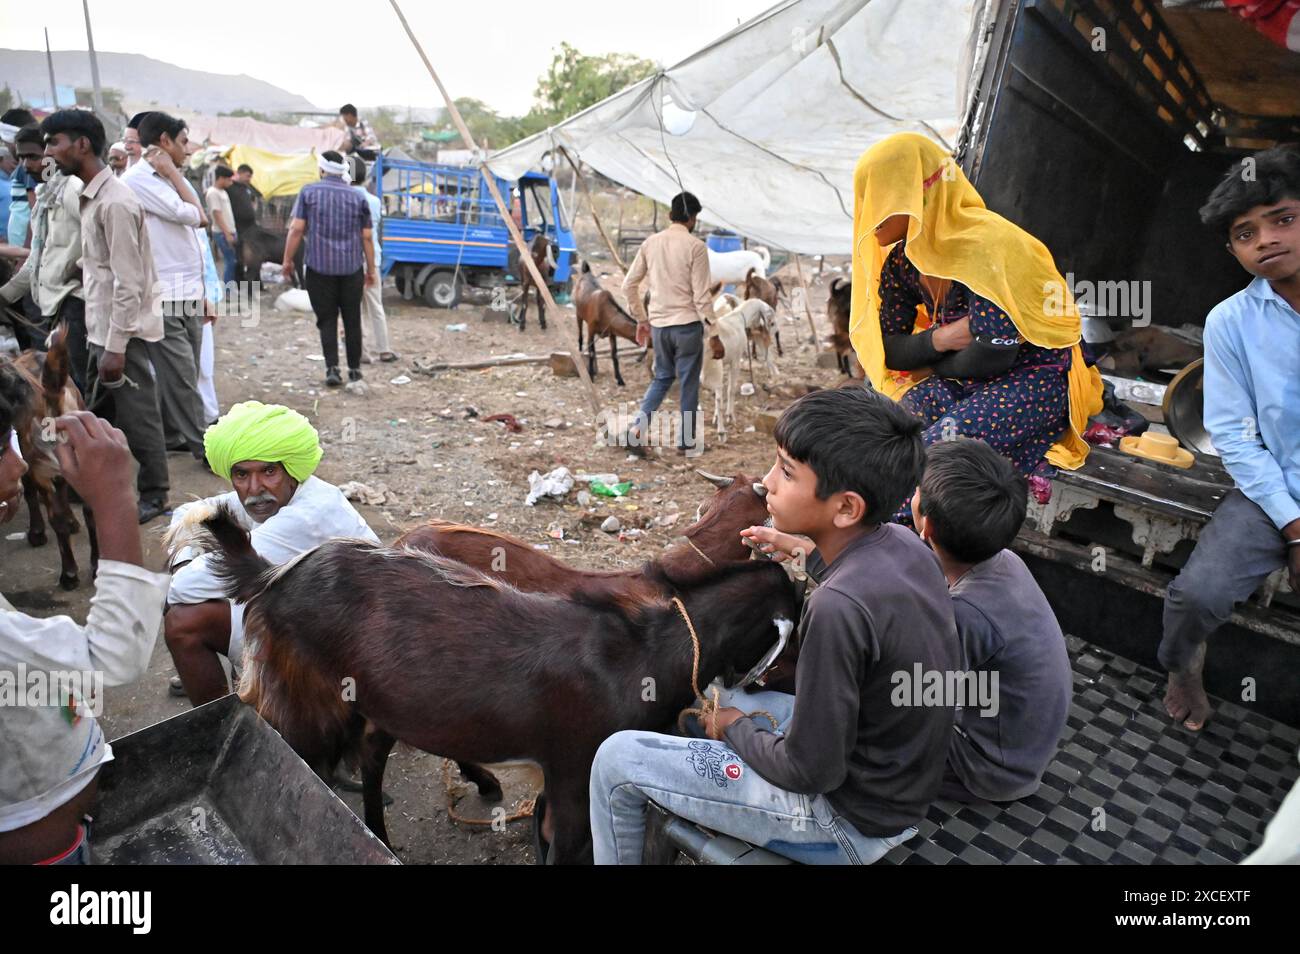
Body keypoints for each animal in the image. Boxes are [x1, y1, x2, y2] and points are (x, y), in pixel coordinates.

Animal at [577, 259, 642, 387]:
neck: (604, 311)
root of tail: (586, 272)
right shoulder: (591, 329)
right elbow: (591, 353)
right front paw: (591, 376)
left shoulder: (612, 333)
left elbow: (614, 355)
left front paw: (620, 379)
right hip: (578, 314)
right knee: (581, 335)